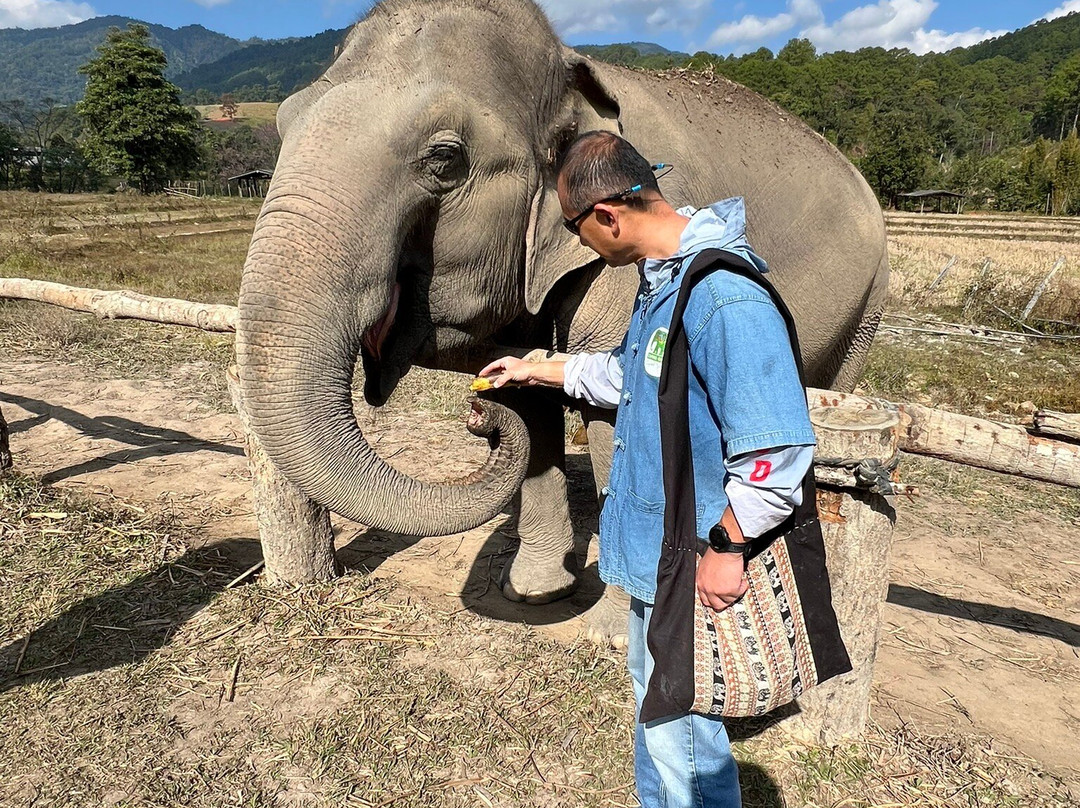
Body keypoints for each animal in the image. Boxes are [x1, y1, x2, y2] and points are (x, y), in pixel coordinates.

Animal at [235, 0, 888, 619]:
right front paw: (533, 593)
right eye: (283, 122)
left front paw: (613, 629)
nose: (480, 412)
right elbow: (537, 404)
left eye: (445, 159)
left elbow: (616, 409)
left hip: (871, 300)